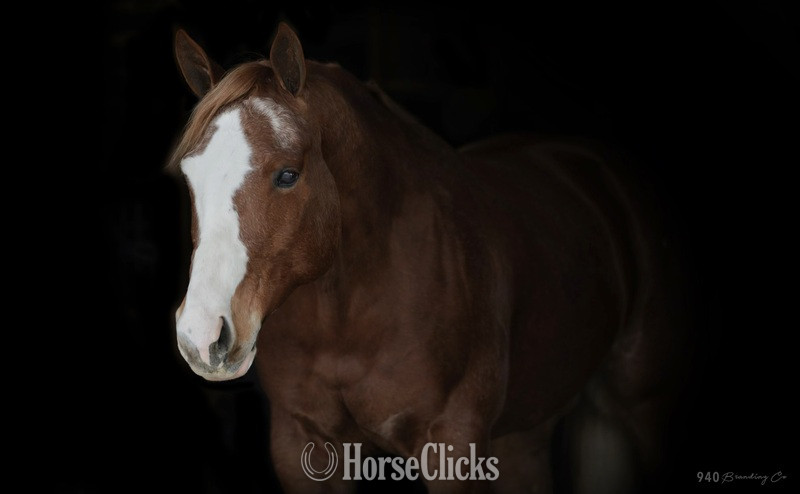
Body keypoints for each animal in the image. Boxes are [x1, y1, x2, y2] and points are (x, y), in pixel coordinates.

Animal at [169, 23, 688, 493]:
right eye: (190, 176)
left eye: (287, 175)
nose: (202, 336)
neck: (349, 317)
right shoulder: (301, 445)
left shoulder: (454, 445)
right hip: (525, 434)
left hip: (642, 405)